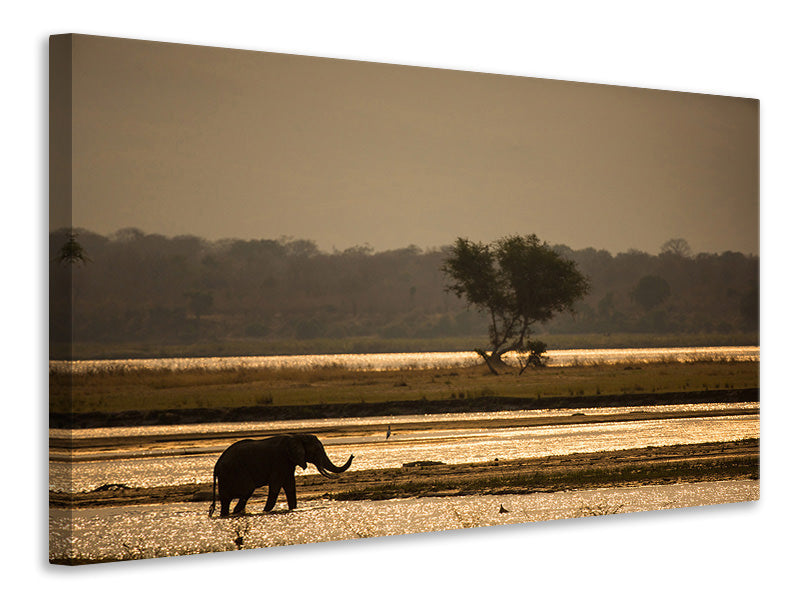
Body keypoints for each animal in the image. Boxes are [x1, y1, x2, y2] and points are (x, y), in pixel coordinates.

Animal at [209, 434, 354, 516]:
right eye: (317, 451)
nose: (352, 455)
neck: (296, 437)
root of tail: (217, 465)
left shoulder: (288, 463)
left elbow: (290, 486)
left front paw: (293, 509)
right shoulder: (280, 461)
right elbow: (275, 486)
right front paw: (265, 511)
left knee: (226, 500)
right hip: (236, 471)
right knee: (246, 491)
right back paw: (236, 512)